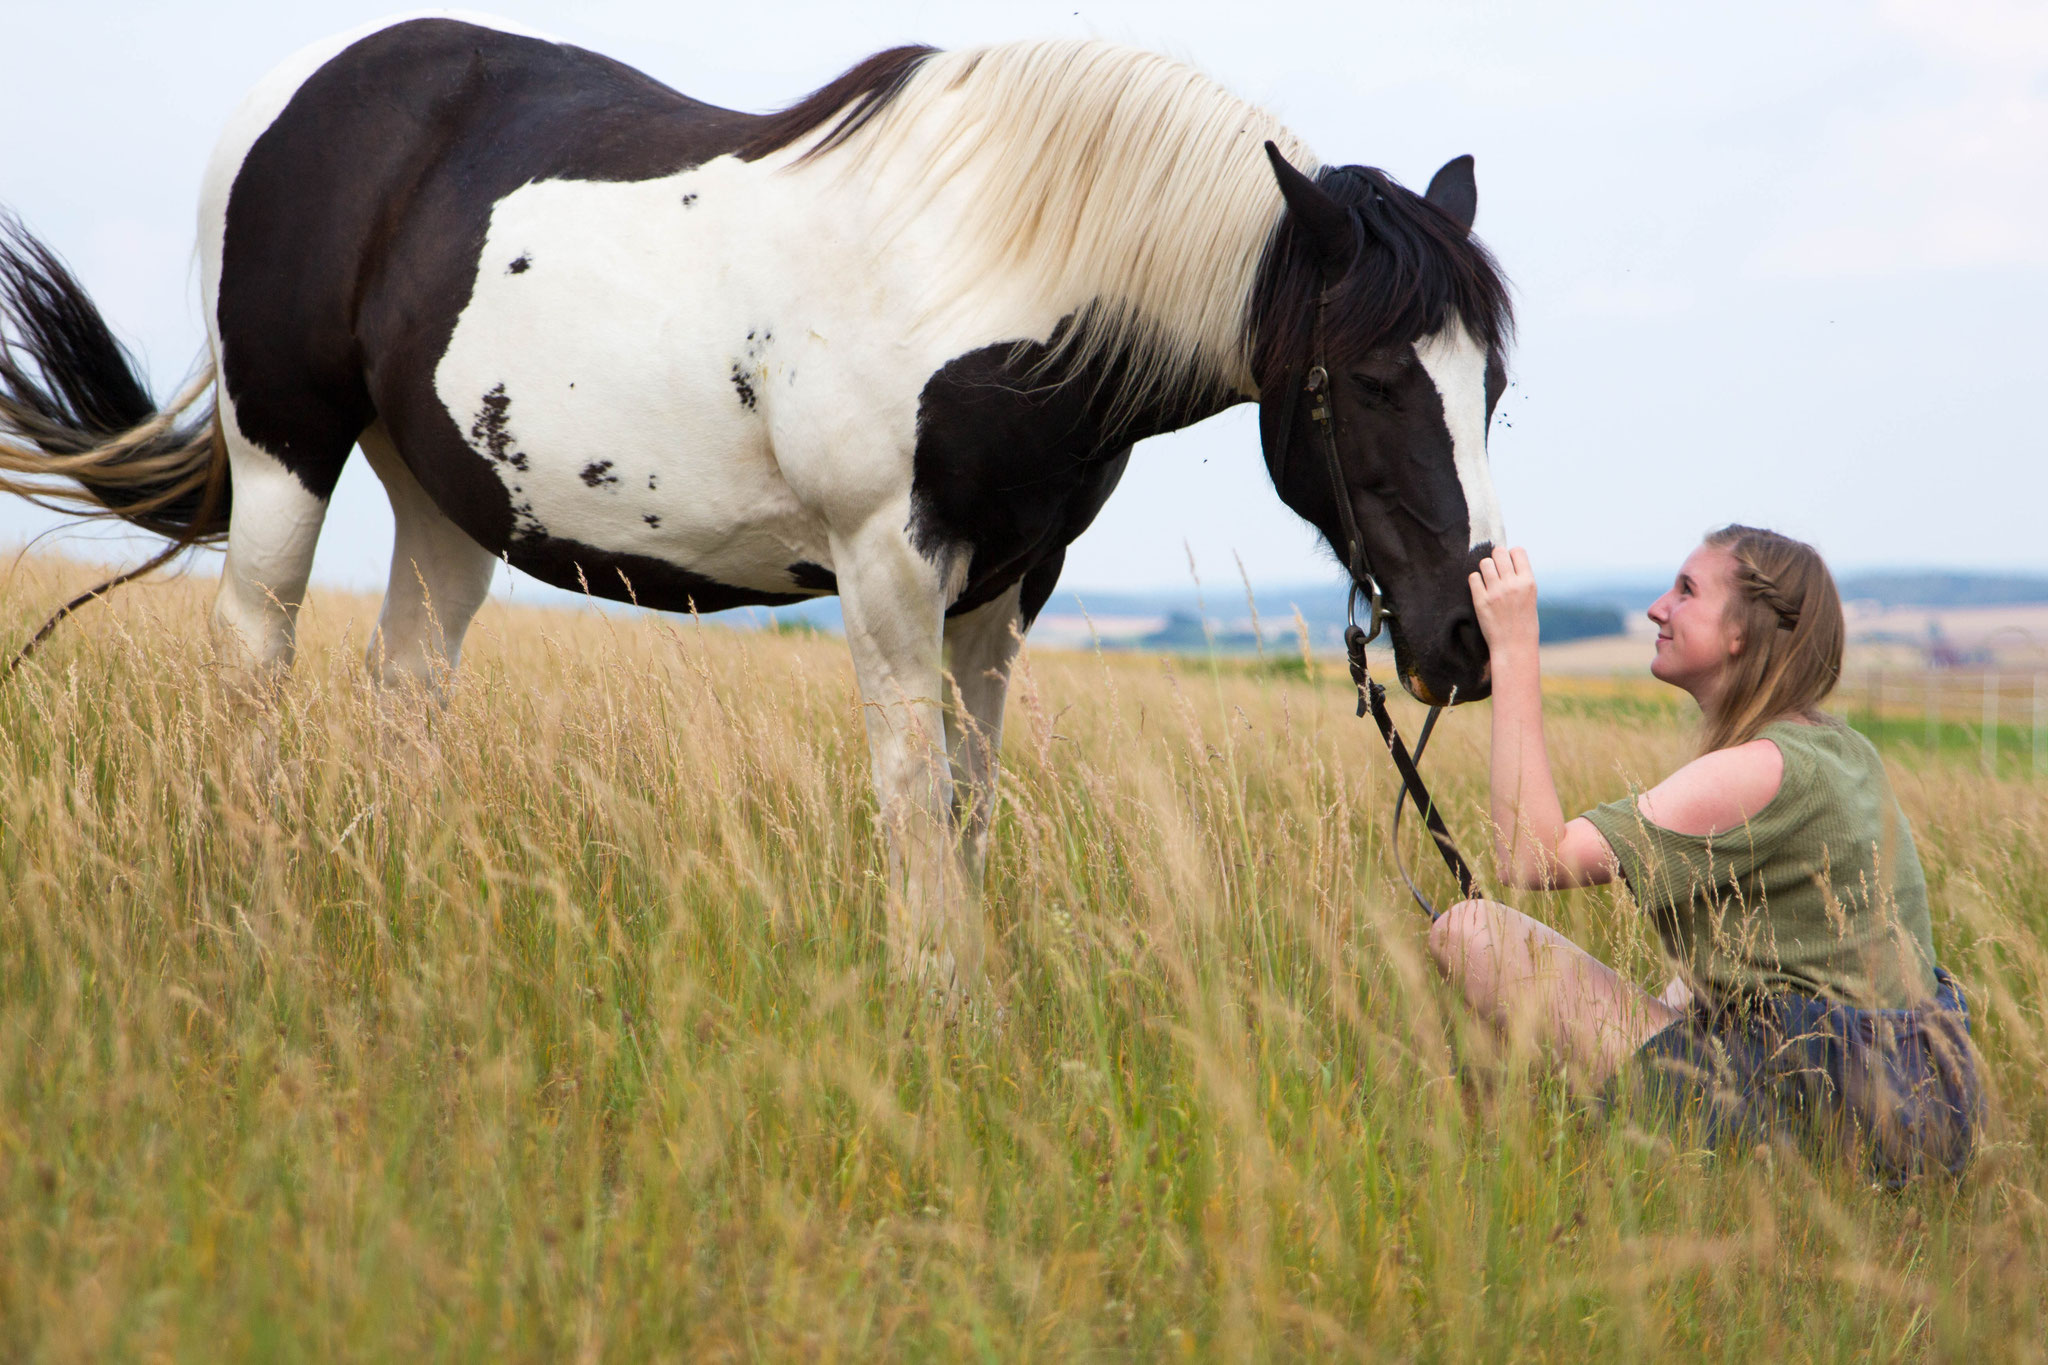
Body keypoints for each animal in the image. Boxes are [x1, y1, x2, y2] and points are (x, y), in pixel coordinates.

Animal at [0, 15, 1507, 986]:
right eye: (1375, 380)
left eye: (1490, 381)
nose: (1464, 640)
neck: (991, 262)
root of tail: (302, 92)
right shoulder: (890, 566)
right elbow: (909, 792)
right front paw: (933, 1004)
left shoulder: (1011, 582)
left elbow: (970, 797)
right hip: (286, 453)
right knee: (253, 665)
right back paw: (255, 904)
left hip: (442, 496)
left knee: (406, 687)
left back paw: (415, 919)